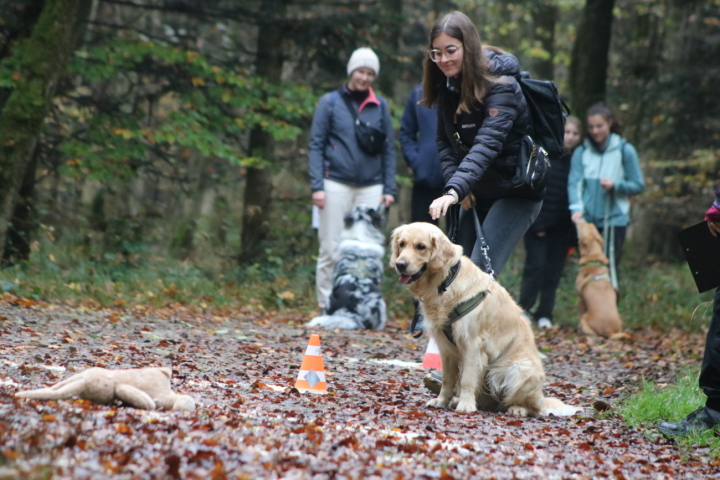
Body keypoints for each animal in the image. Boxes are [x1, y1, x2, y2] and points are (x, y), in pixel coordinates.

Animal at [388, 223, 580, 414]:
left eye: (421, 246)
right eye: (402, 244)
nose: (400, 264)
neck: (446, 281)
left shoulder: (472, 344)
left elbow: (467, 379)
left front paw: (465, 405)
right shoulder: (446, 348)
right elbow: (448, 380)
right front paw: (441, 401)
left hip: (518, 369)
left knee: (532, 407)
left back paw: (518, 409)